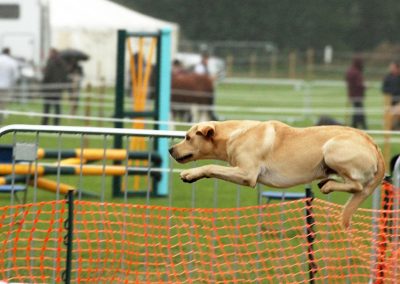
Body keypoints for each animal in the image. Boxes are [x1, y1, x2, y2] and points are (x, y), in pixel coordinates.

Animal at [169, 120, 384, 229]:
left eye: (187, 137)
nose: (171, 150)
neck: (234, 134)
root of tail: (374, 145)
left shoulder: (247, 174)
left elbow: (211, 166)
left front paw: (190, 174)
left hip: (332, 149)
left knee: (357, 185)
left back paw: (329, 185)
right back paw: (327, 181)